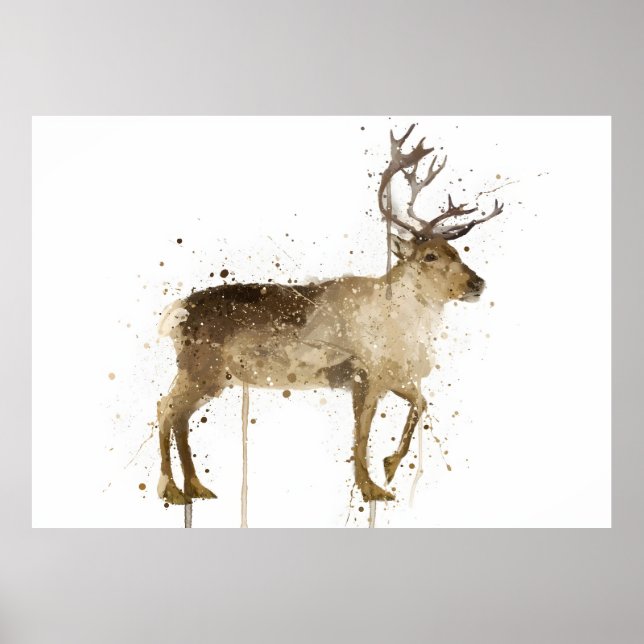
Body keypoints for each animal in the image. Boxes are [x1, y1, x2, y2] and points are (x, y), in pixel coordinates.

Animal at [156, 124, 503, 507]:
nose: (477, 283)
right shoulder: (368, 373)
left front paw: (389, 467)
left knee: (178, 414)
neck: (401, 324)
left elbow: (420, 403)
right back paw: (173, 490)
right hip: (202, 366)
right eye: (429, 256)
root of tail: (175, 312)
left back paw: (196, 487)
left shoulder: (387, 376)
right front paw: (372, 488)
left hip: (212, 376)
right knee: (164, 407)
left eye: (457, 252)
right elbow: (363, 431)